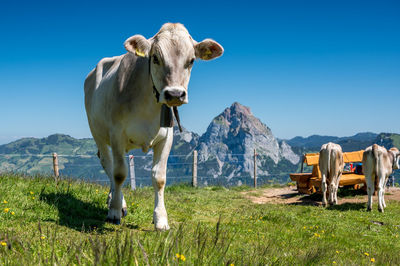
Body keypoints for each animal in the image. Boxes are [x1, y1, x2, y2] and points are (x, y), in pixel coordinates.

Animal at [84, 22, 223, 230]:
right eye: (155, 58)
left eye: (191, 61)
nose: (175, 94)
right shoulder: (116, 134)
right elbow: (119, 173)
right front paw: (114, 211)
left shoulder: (167, 137)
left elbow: (159, 178)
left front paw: (161, 219)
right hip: (97, 132)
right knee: (108, 163)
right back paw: (118, 202)